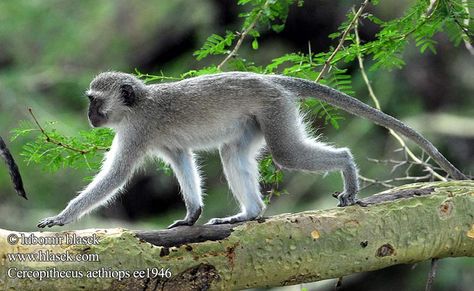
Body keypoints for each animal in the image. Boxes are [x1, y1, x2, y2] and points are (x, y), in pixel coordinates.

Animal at [36, 72, 462, 229]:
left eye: (94, 102)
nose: (90, 116)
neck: (138, 104)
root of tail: (272, 79)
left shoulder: (136, 131)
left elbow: (116, 176)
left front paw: (61, 217)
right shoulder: (163, 142)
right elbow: (182, 161)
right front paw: (191, 214)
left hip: (274, 110)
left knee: (287, 154)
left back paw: (347, 169)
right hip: (255, 120)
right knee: (233, 154)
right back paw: (249, 214)